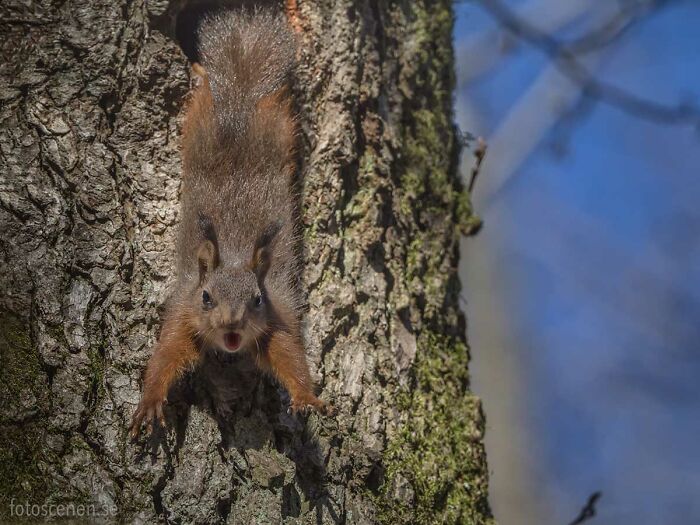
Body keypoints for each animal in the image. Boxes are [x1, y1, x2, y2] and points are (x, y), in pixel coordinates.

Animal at [130, 8, 329, 438]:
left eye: (257, 300)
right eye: (207, 297)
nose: (231, 322)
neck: (236, 255)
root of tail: (241, 90)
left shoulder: (278, 317)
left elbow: (290, 357)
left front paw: (305, 396)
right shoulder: (183, 310)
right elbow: (165, 354)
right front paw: (150, 400)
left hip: (276, 124)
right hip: (202, 115)